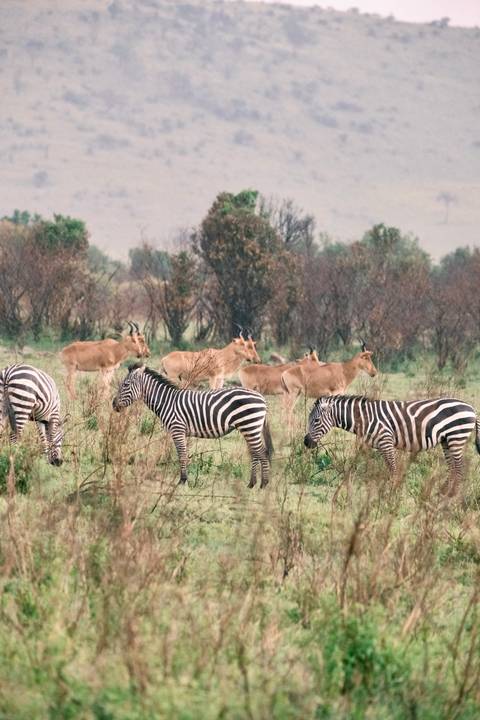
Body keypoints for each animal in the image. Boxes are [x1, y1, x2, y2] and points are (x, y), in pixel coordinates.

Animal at [112, 364, 274, 488]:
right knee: (255, 453)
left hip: (250, 425)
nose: (113, 405)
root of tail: (262, 398)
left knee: (262, 452)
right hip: (249, 428)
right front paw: (184, 479)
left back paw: (263, 484)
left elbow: (182, 456)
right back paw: (251, 484)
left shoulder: (177, 429)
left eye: (125, 384)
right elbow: (184, 455)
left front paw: (182, 481)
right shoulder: (181, 432)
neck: (167, 402)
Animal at [304, 394, 480, 492]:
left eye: (316, 420)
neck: (365, 419)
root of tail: (472, 408)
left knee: (459, 468)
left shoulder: (386, 441)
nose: (306, 442)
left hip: (456, 437)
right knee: (453, 468)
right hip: (447, 440)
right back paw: (443, 492)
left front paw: (393, 492)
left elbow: (392, 468)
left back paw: (452, 495)